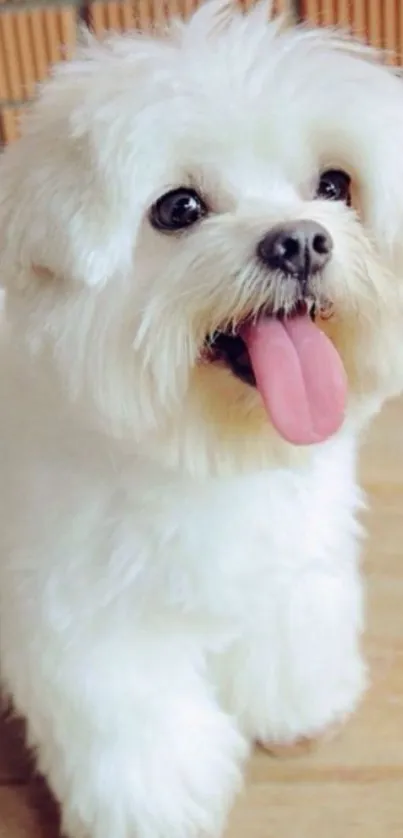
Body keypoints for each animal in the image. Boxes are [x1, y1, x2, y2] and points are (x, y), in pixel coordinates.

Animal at [0, 1, 403, 838]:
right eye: (177, 208)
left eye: (334, 185)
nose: (299, 239)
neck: (205, 449)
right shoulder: (84, 619)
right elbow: (134, 721)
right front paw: (153, 806)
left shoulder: (292, 551)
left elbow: (289, 622)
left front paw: (297, 700)